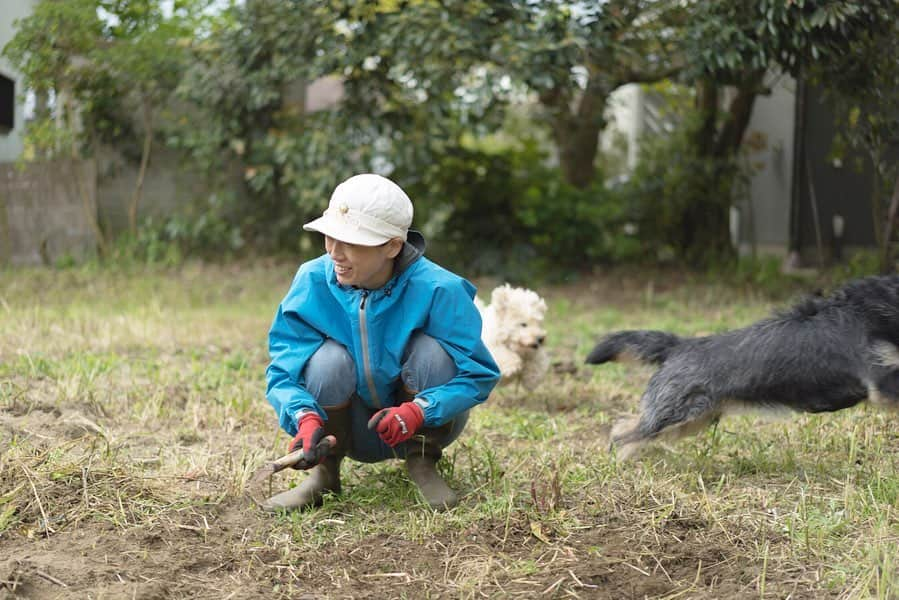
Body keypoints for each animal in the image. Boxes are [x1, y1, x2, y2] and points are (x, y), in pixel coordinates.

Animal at [584, 276, 899, 460]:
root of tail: (678, 346)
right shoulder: (881, 383)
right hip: (674, 416)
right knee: (622, 433)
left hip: (694, 420)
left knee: (626, 425)